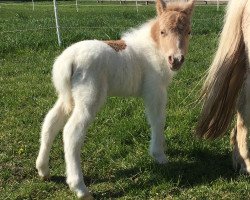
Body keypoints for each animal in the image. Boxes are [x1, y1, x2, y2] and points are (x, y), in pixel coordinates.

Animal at [36, 0, 194, 198]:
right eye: (162, 31)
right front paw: (159, 155)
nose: (176, 60)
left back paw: (43, 170)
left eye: (188, 31)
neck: (153, 48)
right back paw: (80, 188)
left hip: (67, 98)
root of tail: (68, 60)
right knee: (71, 132)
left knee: (50, 123)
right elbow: (157, 121)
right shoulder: (155, 90)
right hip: (89, 98)